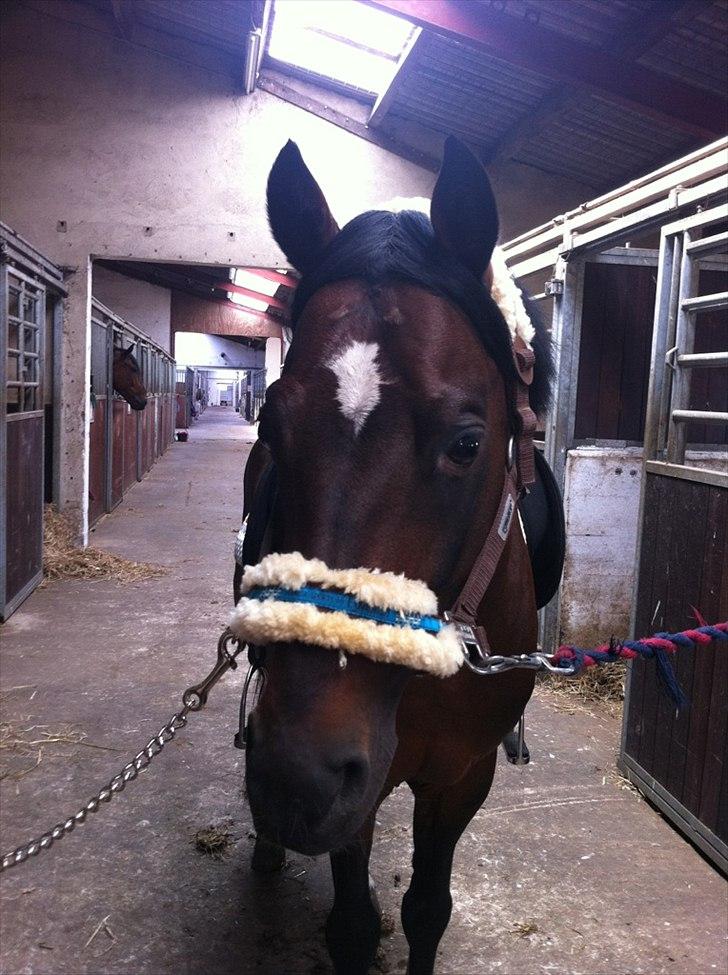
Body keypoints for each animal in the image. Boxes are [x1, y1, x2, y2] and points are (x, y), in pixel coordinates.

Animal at [238, 137, 553, 975]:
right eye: (270, 425)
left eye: (468, 443)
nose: (296, 779)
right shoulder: (362, 789)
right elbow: (353, 923)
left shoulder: (461, 777)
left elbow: (426, 910)